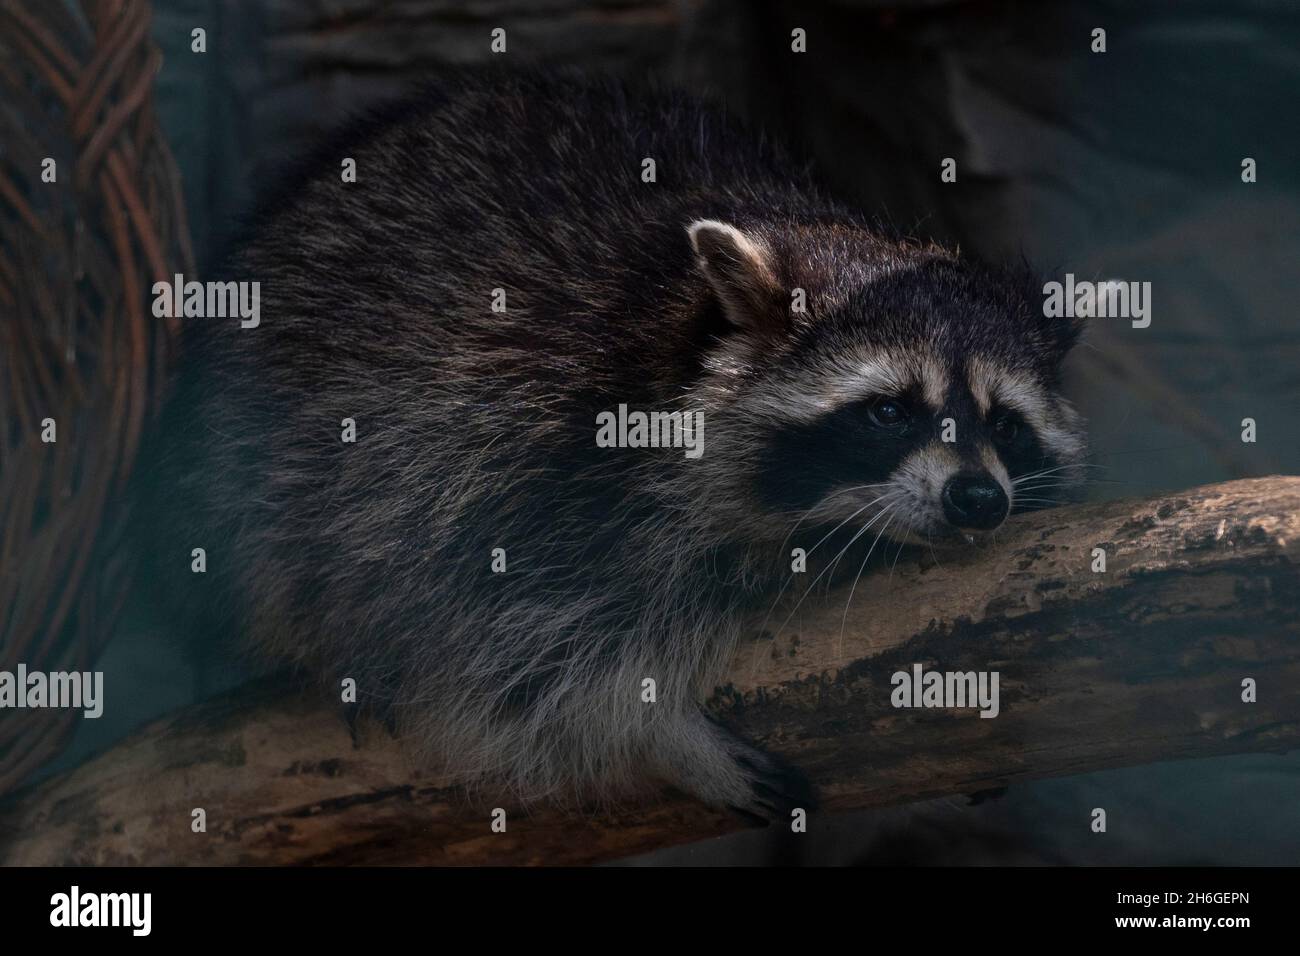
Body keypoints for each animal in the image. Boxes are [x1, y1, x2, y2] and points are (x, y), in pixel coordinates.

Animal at [167, 67, 1092, 816]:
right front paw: (650, 731)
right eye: (891, 412)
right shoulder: (493, 437)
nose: (978, 499)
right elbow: (490, 644)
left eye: (1006, 425)